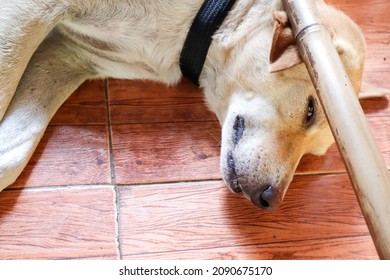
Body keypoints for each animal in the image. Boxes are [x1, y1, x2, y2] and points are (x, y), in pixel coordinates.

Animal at [0, 0, 386, 210]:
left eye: (311, 156)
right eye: (310, 109)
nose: (270, 201)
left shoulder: (68, 54)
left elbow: (11, 158)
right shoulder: (33, 12)